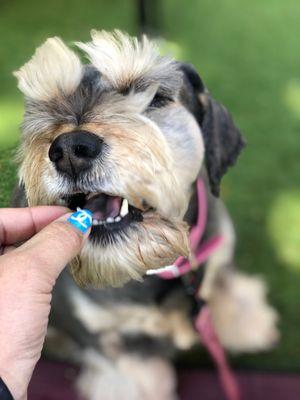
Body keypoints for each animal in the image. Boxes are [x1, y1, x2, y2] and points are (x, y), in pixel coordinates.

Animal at [11, 31, 278, 400]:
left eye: (156, 97)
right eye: (48, 103)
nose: (68, 151)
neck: (159, 269)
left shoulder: (219, 254)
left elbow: (225, 286)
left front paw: (248, 323)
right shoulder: (110, 346)